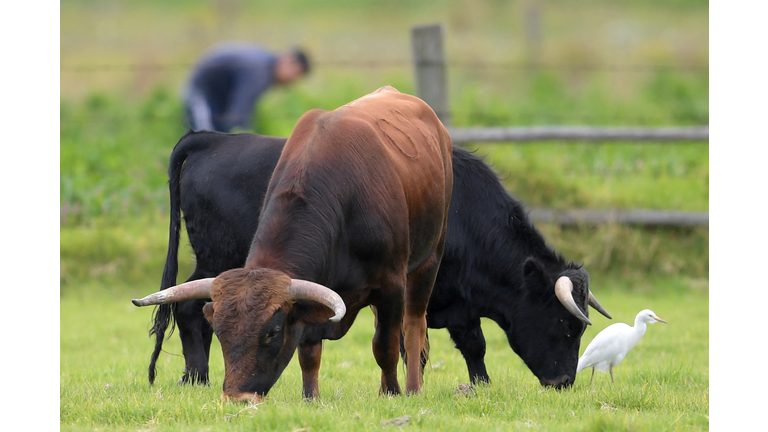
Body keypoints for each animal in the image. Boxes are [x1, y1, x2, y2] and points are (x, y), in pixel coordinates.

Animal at [133, 86, 452, 404]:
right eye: (221, 332)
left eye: (272, 332)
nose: (238, 398)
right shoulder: (310, 298)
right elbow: (309, 353)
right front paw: (311, 397)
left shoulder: (390, 287)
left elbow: (384, 346)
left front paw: (391, 393)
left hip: (428, 262)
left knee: (414, 325)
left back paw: (413, 387)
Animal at [147, 128, 608, 388]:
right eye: (566, 324)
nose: (564, 381)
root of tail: (215, 138)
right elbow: (445, 344)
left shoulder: (454, 300)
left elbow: (466, 345)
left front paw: (479, 385)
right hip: (215, 259)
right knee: (189, 309)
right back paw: (196, 377)